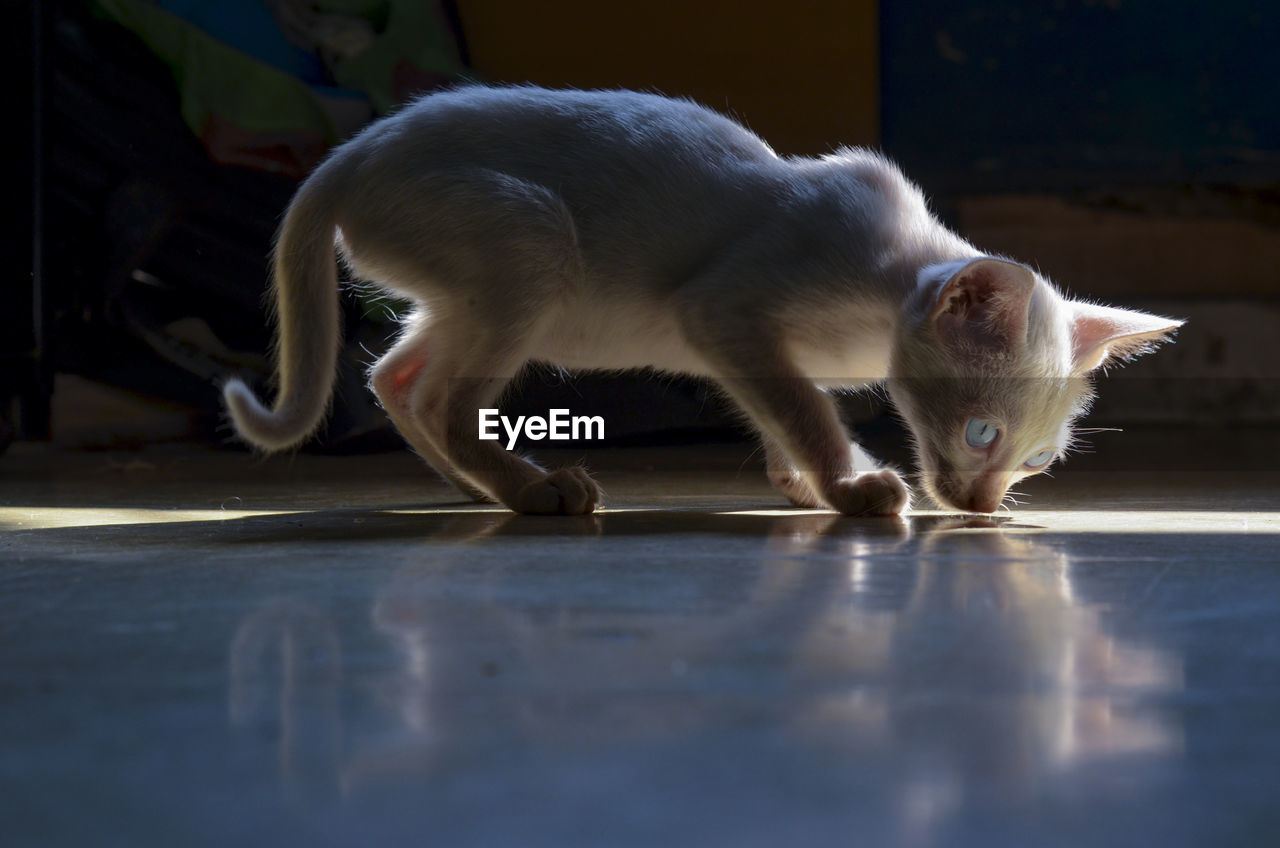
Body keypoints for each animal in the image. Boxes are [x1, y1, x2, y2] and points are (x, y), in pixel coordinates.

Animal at [220, 89, 1177, 522]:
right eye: (982, 435)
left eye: (1037, 460)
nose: (982, 507)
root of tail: (355, 149)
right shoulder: (724, 310)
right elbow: (802, 404)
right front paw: (850, 486)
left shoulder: (739, 338)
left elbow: (783, 404)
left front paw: (802, 482)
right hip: (530, 241)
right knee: (441, 395)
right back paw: (534, 491)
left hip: (469, 291)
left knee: (396, 376)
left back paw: (482, 485)